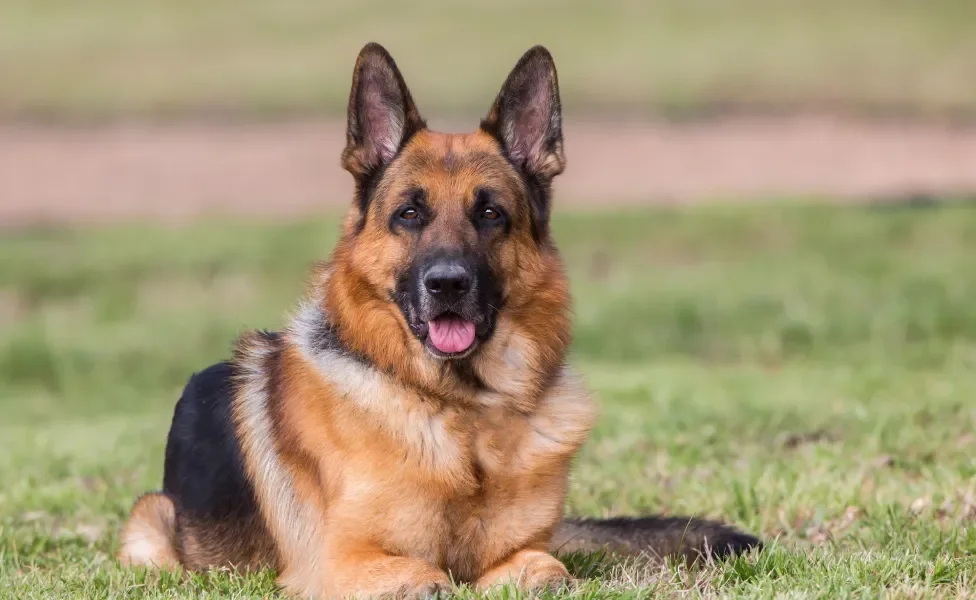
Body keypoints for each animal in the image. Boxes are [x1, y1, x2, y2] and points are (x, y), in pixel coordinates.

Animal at [118, 43, 764, 600]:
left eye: (491, 213)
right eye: (409, 213)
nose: (448, 284)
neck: (462, 411)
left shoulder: (534, 552)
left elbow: (546, 569)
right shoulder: (341, 564)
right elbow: (430, 577)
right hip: (149, 529)